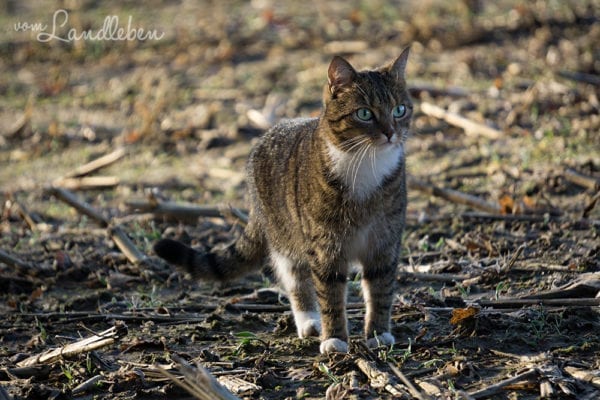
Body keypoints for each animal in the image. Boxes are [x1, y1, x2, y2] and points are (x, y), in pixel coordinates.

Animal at [154, 47, 412, 356]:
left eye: (399, 110)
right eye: (364, 114)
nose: (390, 133)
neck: (368, 166)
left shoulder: (384, 241)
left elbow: (380, 288)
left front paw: (378, 333)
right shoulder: (324, 247)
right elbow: (330, 293)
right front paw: (334, 338)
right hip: (285, 237)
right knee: (296, 280)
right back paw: (310, 321)